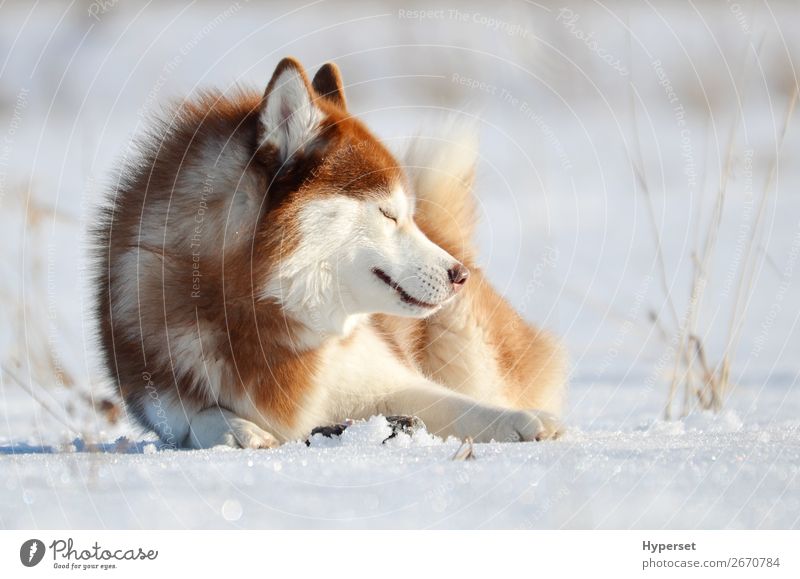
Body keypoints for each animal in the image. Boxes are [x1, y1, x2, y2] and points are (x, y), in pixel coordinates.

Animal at [97, 57, 564, 448]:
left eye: (404, 213)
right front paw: (237, 429)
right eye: (388, 213)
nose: (459, 274)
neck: (262, 310)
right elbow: (199, 417)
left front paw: (524, 422)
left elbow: (460, 406)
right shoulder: (162, 395)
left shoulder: (386, 380)